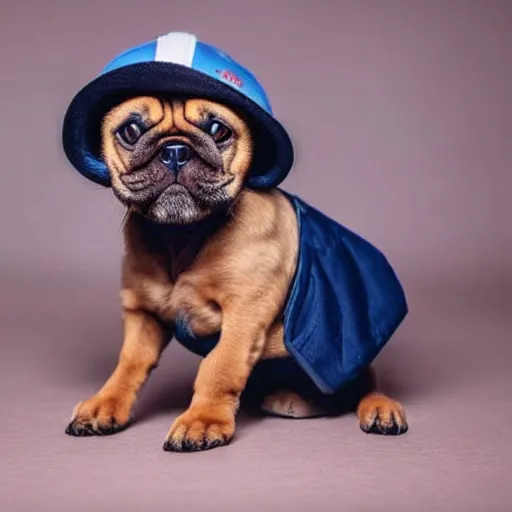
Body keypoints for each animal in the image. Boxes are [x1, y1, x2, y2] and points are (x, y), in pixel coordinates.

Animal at [63, 32, 408, 450]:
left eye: (218, 130)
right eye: (130, 131)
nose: (175, 150)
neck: (182, 237)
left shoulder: (244, 313)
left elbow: (219, 367)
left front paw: (203, 420)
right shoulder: (142, 315)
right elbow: (129, 364)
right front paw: (105, 404)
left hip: (351, 358)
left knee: (363, 384)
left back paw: (380, 407)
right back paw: (295, 399)